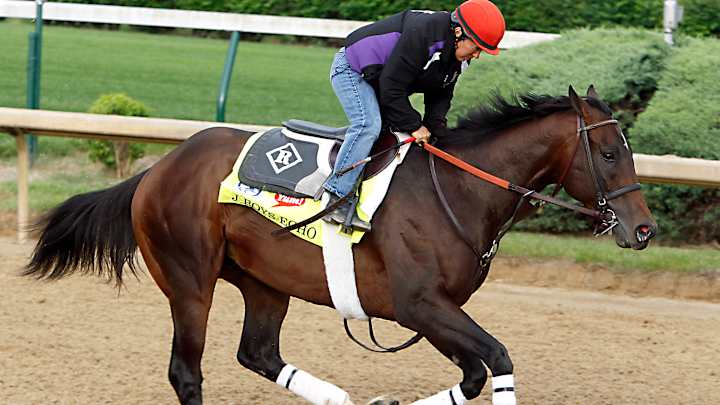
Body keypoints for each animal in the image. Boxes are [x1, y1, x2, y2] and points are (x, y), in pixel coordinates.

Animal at [24, 86, 656, 405]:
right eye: (608, 154)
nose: (643, 229)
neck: (455, 190)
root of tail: (158, 169)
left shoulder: (430, 312)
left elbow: (475, 375)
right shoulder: (421, 305)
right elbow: (497, 361)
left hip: (264, 283)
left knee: (258, 353)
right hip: (189, 282)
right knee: (187, 372)